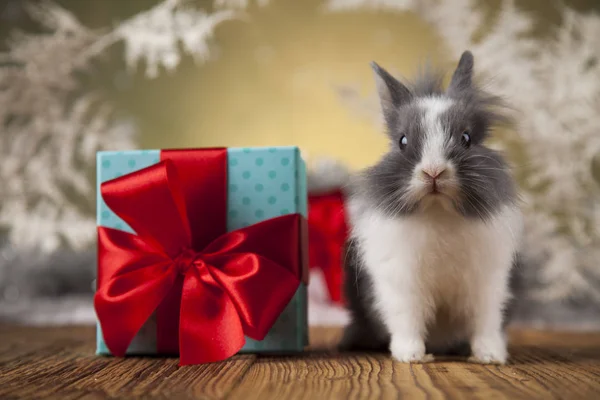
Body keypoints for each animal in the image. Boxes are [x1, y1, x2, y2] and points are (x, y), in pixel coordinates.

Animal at [340, 50, 524, 366]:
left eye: (466, 138)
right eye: (402, 141)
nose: (434, 172)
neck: (438, 211)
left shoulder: (487, 283)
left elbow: (485, 321)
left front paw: (489, 356)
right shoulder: (401, 284)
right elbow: (408, 320)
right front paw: (411, 356)